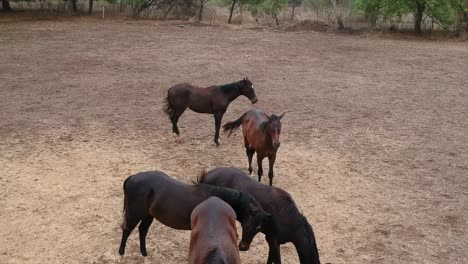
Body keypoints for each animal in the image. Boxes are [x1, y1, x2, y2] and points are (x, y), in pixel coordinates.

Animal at [117, 170, 270, 256]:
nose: (244, 247)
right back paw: (121, 252)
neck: (215, 199)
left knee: (142, 231)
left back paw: (144, 253)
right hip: (135, 213)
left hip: (149, 215)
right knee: (127, 229)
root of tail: (131, 178)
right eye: (253, 225)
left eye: (259, 228)